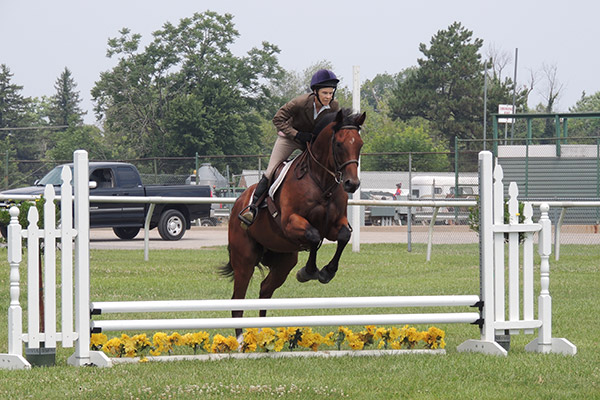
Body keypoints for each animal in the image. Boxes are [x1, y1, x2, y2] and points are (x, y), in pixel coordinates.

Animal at [221, 108, 366, 336]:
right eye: (339, 144)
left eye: (359, 144)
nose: (352, 184)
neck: (321, 182)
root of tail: (238, 203)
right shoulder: (290, 223)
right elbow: (314, 236)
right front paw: (309, 272)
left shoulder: (334, 226)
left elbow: (343, 236)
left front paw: (327, 272)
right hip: (244, 259)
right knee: (237, 303)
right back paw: (241, 341)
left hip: (284, 261)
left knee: (264, 290)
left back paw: (263, 336)